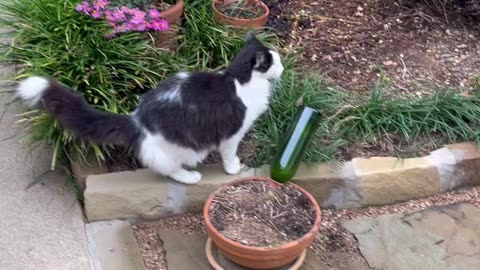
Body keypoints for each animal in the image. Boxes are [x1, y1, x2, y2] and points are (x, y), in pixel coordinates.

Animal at [16, 31, 284, 184]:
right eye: (275, 63)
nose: (283, 69)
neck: (239, 80)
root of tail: (136, 120)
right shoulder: (233, 133)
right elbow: (229, 154)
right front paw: (233, 168)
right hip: (179, 150)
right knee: (168, 169)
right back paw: (190, 176)